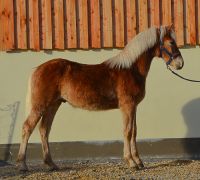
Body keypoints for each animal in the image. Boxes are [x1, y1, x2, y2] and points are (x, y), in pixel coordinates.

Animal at [16, 25, 184, 170]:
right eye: (171, 42)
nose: (180, 63)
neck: (131, 69)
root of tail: (38, 69)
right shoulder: (127, 105)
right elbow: (128, 131)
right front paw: (131, 162)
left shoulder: (133, 107)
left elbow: (134, 131)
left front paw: (139, 161)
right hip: (40, 105)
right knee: (27, 128)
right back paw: (22, 165)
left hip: (53, 105)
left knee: (44, 129)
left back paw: (51, 164)